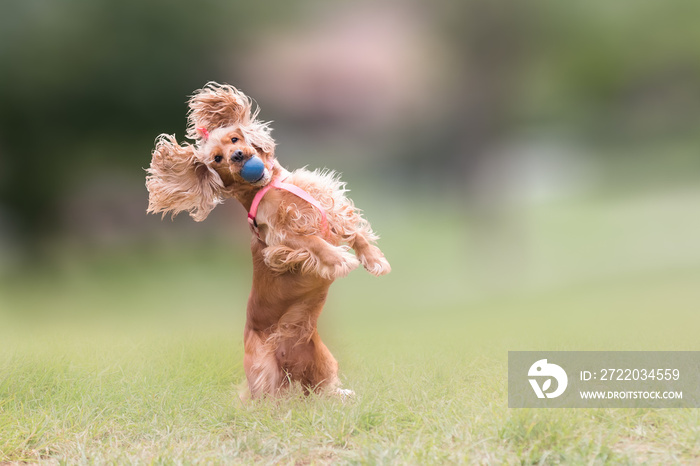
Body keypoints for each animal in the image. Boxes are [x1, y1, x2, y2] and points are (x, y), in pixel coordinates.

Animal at [146, 82, 392, 398]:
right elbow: (314, 243)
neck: (270, 186)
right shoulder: (280, 238)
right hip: (264, 370)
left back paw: (341, 396)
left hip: (323, 361)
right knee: (268, 399)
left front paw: (375, 260)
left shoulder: (326, 204)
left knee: (321, 389)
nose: (238, 156)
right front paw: (338, 258)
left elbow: (354, 232)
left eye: (235, 138)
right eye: (217, 158)